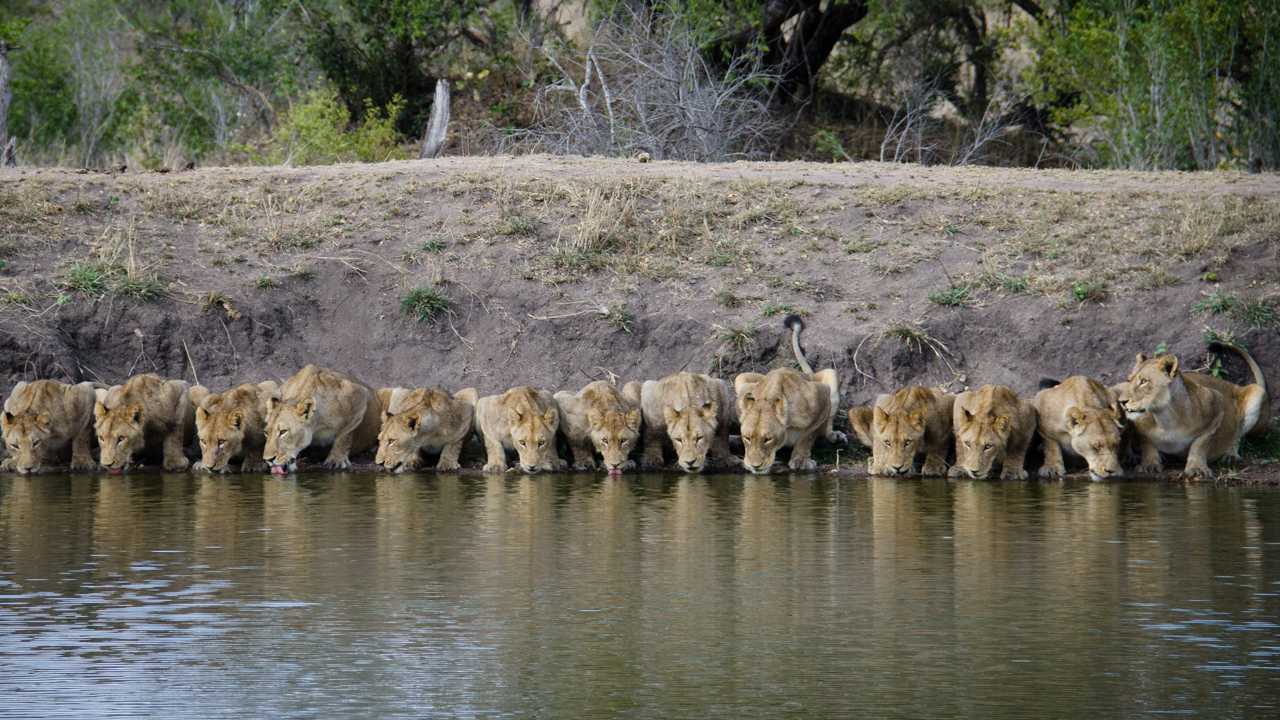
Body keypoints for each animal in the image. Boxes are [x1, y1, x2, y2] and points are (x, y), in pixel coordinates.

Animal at [737, 312, 844, 471]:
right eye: (747, 438)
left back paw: (834, 436)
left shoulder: (821, 395)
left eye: (768, 439)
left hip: (832, 375)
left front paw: (800, 460)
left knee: (827, 427)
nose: (755, 466)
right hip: (741, 378)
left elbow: (808, 435)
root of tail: (808, 375)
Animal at [1116, 345, 1264, 479]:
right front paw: (1149, 464)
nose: (1121, 401)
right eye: (1129, 380)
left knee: (1238, 435)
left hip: (1257, 391)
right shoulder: (1140, 426)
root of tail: (1233, 385)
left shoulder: (1216, 402)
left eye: (1144, 381)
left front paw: (1197, 468)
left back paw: (1230, 455)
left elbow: (1200, 444)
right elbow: (1147, 442)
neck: (1165, 418)